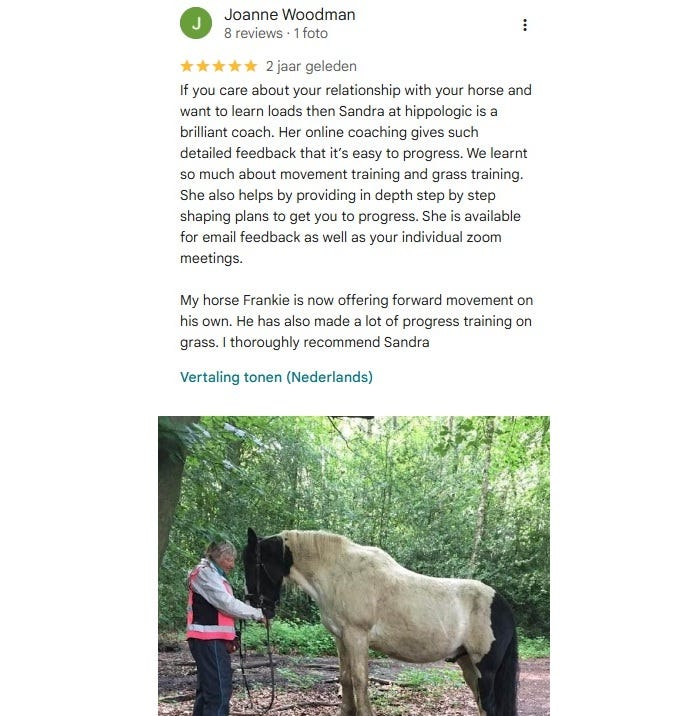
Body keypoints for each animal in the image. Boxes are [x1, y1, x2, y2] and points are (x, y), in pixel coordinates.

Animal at [243, 528, 518, 716]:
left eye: (252, 565)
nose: (257, 605)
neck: (339, 573)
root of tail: (503, 605)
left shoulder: (356, 637)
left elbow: (360, 681)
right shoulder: (341, 638)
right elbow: (345, 679)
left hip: (485, 671)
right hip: (468, 665)